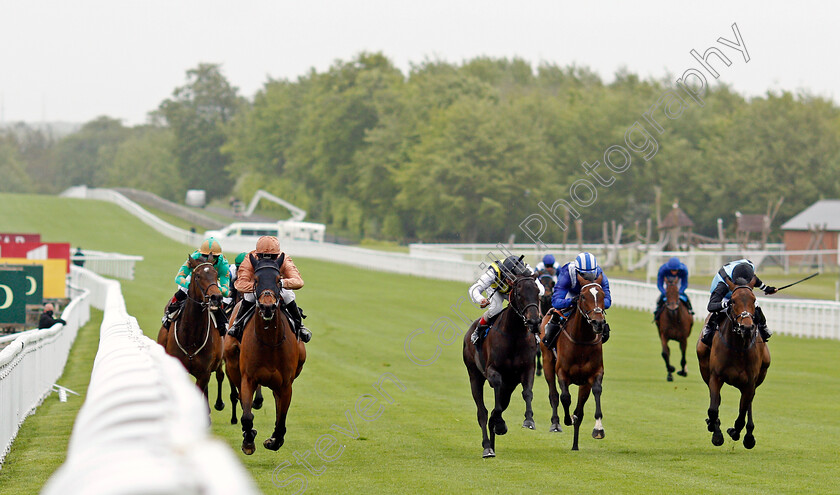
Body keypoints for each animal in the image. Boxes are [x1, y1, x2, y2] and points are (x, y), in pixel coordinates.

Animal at [223, 254, 306, 456]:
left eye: (278, 280)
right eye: (256, 280)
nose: (267, 307)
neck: (269, 343)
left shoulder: (286, 384)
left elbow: (281, 418)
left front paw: (274, 441)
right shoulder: (248, 378)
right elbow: (246, 415)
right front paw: (248, 441)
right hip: (232, 365)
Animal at [462, 278, 540, 460]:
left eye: (538, 291)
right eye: (519, 293)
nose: (534, 321)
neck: (514, 335)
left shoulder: (527, 369)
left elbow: (527, 392)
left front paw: (529, 420)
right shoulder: (493, 371)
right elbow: (495, 403)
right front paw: (500, 424)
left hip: (509, 387)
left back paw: (493, 441)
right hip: (474, 376)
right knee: (482, 413)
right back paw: (487, 447)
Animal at [540, 274, 608, 452]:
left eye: (603, 295)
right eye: (583, 296)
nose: (598, 323)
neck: (581, 341)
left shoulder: (594, 374)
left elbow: (596, 392)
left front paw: (598, 429)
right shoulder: (562, 373)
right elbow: (564, 397)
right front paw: (567, 419)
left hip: (583, 384)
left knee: (580, 409)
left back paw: (575, 445)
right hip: (547, 362)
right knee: (553, 394)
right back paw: (556, 424)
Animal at [700, 280, 772, 450]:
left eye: (754, 300)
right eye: (733, 301)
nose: (747, 327)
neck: (738, 348)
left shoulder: (750, 383)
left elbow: (741, 415)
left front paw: (735, 431)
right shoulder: (715, 377)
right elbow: (713, 409)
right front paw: (716, 432)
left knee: (748, 405)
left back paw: (749, 436)